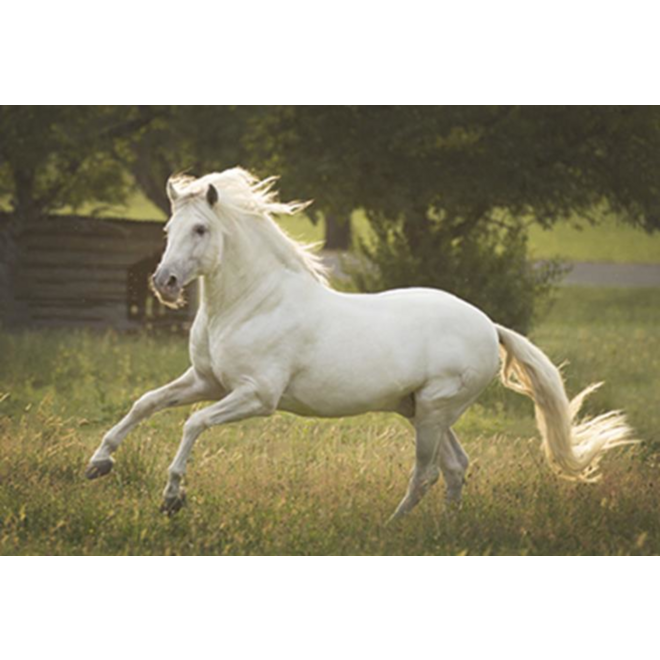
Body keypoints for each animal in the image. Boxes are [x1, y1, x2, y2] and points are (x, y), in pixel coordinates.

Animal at [85, 167, 635, 519]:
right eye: (168, 227)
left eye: (200, 228)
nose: (164, 283)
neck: (251, 303)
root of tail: (489, 325)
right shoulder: (207, 380)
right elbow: (145, 403)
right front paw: (98, 463)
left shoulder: (255, 397)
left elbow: (192, 424)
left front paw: (172, 497)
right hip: (421, 410)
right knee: (456, 467)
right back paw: (446, 529)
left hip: (433, 411)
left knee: (428, 473)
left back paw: (394, 527)